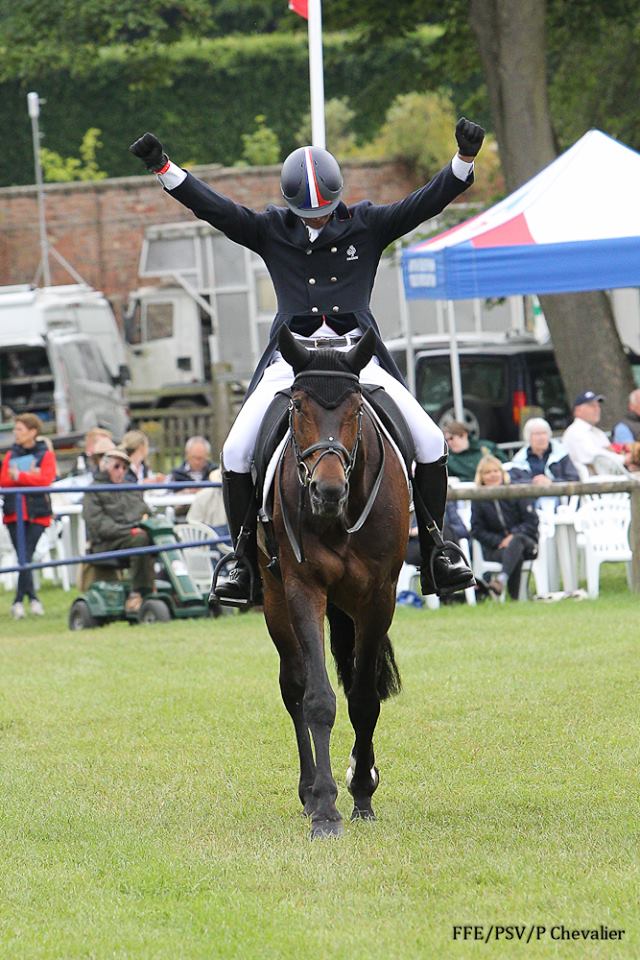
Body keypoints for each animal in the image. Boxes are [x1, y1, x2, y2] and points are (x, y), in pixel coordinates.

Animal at [260, 326, 410, 836]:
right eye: (297, 407)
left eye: (356, 408)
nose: (327, 492)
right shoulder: (303, 588)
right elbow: (318, 700)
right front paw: (325, 808)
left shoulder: (379, 598)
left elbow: (364, 699)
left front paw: (362, 790)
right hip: (274, 601)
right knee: (293, 687)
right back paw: (308, 793)